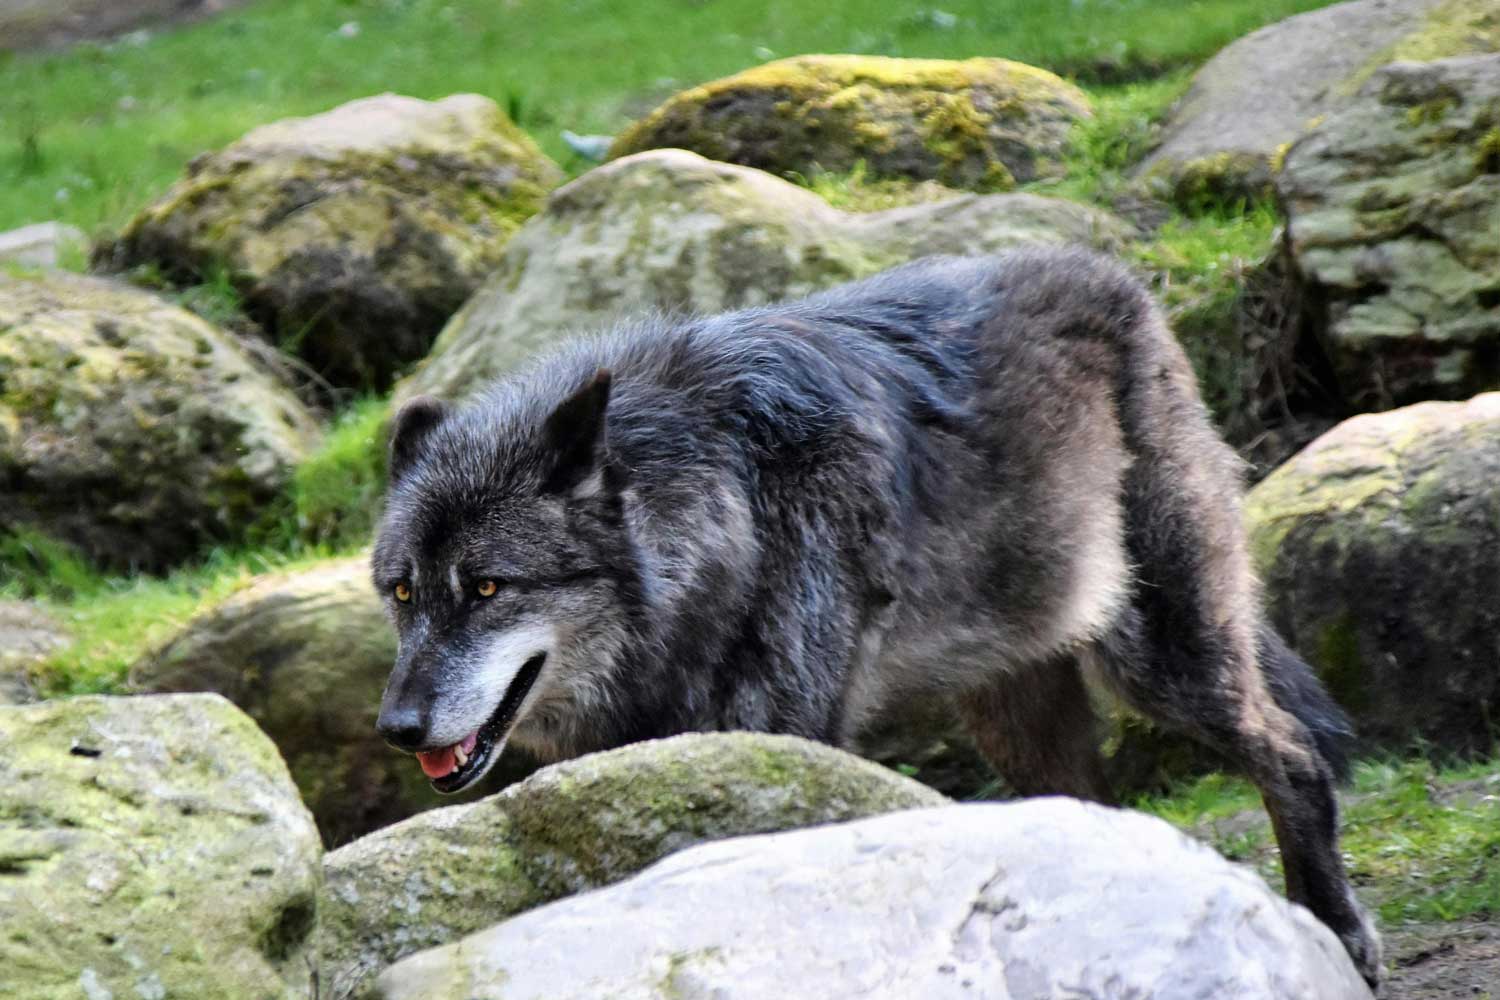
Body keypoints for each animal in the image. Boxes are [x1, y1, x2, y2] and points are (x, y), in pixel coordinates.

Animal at [372, 248, 1381, 986]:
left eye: (488, 588)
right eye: (404, 592)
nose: (397, 727)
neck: (725, 515)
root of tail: (1118, 279)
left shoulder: (780, 741)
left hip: (1160, 658)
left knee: (1291, 754)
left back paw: (1337, 931)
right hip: (1018, 718)